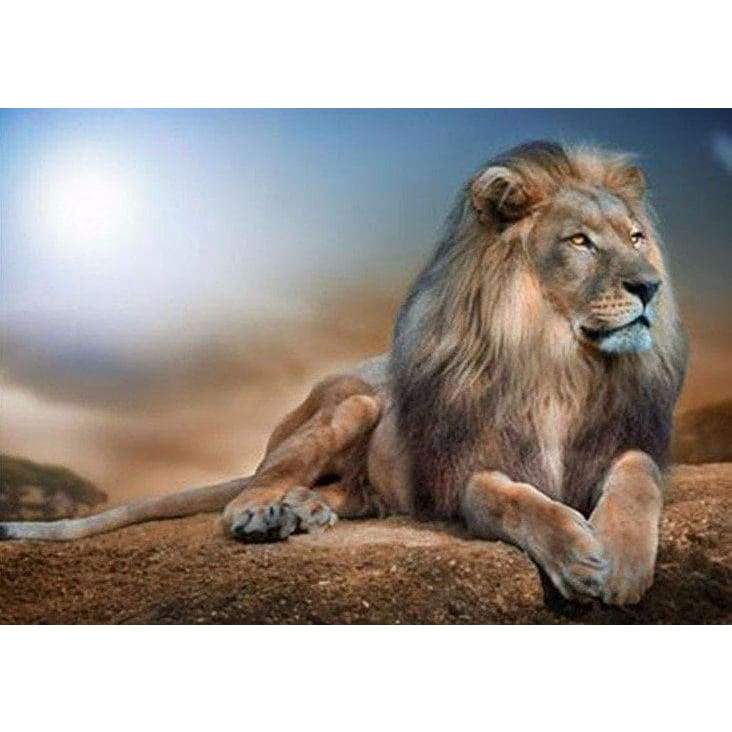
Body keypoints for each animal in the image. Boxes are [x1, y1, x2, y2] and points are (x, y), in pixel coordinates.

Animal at [0, 141, 687, 606]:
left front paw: (622, 561)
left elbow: (638, 474)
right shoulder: (462, 471)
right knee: (252, 488)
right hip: (352, 404)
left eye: (635, 236)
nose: (650, 287)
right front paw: (577, 555)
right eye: (579, 242)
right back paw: (266, 515)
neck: (559, 364)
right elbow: (509, 497)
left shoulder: (623, 441)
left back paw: (304, 511)